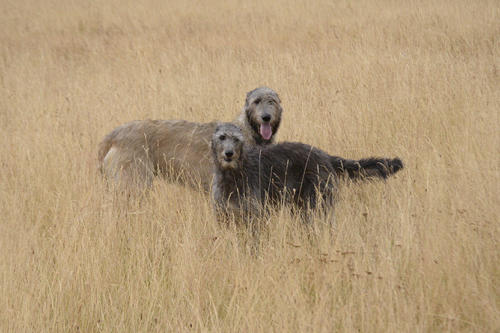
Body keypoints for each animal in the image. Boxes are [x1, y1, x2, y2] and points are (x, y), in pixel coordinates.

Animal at [97, 86, 282, 189]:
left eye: (272, 101)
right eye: (256, 101)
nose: (266, 117)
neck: (248, 130)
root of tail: (113, 134)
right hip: (133, 183)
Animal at [210, 122, 402, 220]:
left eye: (236, 139)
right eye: (222, 137)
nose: (229, 154)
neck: (235, 172)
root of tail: (326, 156)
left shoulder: (256, 214)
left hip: (316, 203)